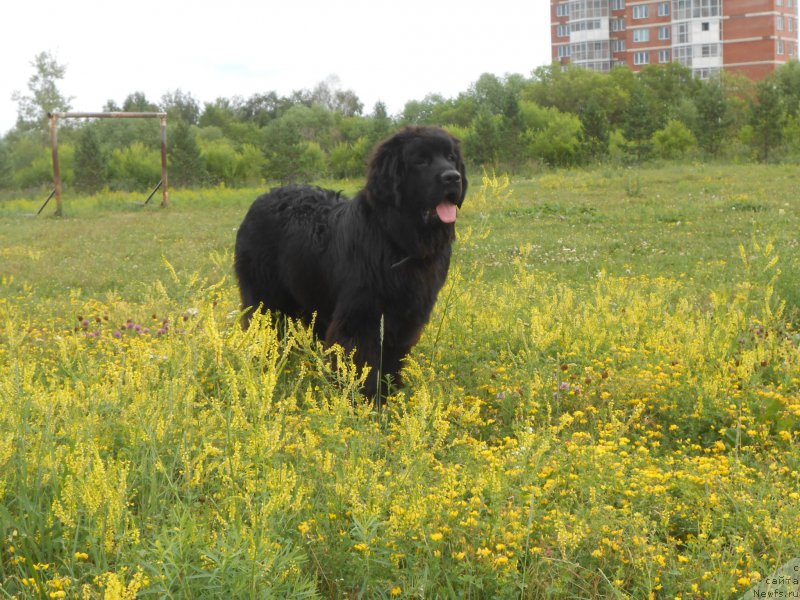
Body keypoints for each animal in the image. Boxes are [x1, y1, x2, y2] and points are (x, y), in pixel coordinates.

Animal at [234, 125, 466, 398]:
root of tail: (260, 199)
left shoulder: (406, 317)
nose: (453, 178)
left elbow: (391, 361)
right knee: (260, 327)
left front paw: (388, 397)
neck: (396, 240)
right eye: (421, 160)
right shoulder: (361, 316)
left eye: (451, 158)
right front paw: (361, 401)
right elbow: (361, 362)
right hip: (266, 298)